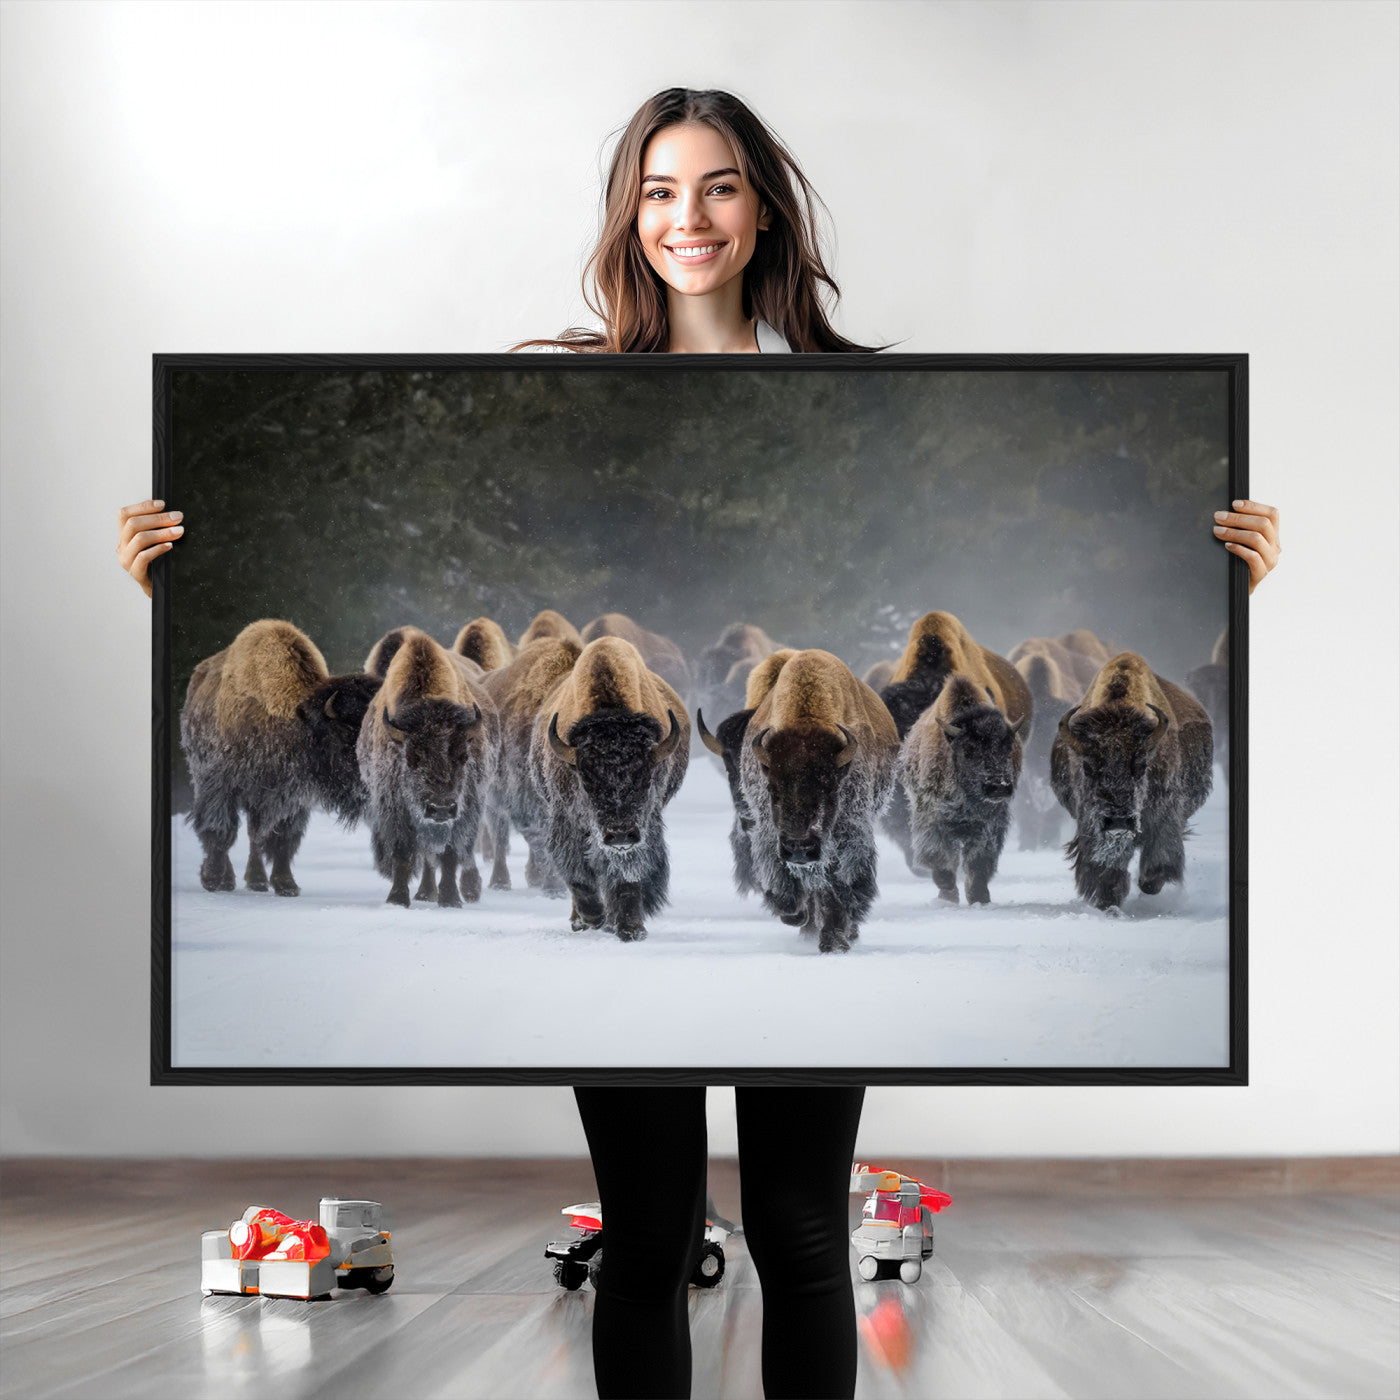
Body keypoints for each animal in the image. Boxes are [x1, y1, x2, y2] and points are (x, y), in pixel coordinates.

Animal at [180, 619, 382, 896]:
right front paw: (212, 879)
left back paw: (257, 881)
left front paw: (286, 885)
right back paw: (229, 880)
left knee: (255, 835)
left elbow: (283, 838)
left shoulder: (290, 797)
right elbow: (220, 830)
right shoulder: (220, 784)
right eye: (343, 731)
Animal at [530, 637, 689, 941]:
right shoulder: (567, 821)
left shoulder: (643, 826)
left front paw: (631, 929)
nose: (619, 835)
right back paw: (582, 921)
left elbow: (627, 874)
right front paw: (593, 917)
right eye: (586, 780)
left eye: (647, 778)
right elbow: (578, 875)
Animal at [1050, 652, 1214, 911]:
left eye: (1141, 765)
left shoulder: (1164, 813)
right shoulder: (1091, 821)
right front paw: (1108, 901)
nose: (1118, 820)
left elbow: (1160, 853)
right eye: (1087, 767)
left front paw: (1148, 883)